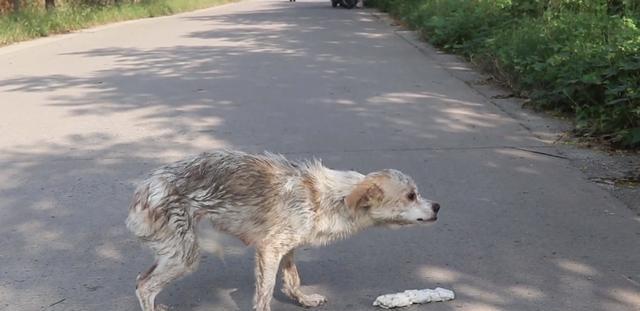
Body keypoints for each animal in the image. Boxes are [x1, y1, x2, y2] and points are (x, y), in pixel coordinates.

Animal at [126, 150, 440, 310]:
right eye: (411, 195)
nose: (438, 206)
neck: (329, 198)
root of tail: (144, 189)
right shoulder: (269, 249)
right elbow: (265, 294)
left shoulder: (287, 248)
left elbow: (292, 280)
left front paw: (304, 299)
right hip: (185, 257)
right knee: (145, 286)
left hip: (175, 252)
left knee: (142, 278)